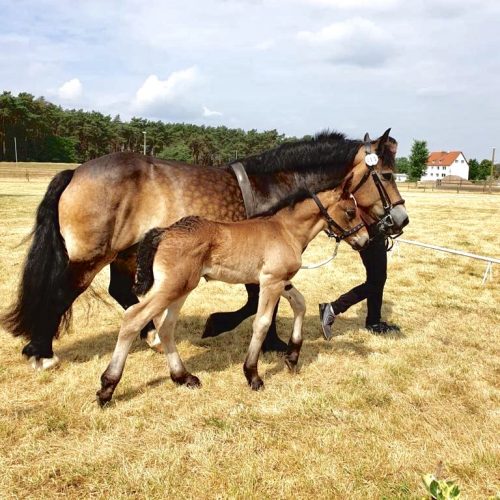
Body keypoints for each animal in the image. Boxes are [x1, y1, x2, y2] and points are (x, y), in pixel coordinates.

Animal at [2, 129, 408, 370]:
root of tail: (75, 172)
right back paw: (43, 352)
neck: (274, 186)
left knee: (123, 292)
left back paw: (150, 335)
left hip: (125, 254)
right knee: (60, 293)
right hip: (90, 257)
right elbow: (257, 305)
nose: (400, 220)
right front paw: (230, 329)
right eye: (387, 175)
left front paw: (268, 340)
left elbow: (260, 303)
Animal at [96, 173, 369, 404]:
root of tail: (164, 232)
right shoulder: (271, 281)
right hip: (173, 286)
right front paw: (253, 375)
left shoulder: (278, 281)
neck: (286, 230)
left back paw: (183, 377)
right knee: (133, 318)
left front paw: (292, 358)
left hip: (181, 288)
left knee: (165, 326)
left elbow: (300, 304)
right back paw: (107, 388)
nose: (365, 240)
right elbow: (262, 323)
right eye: (350, 211)